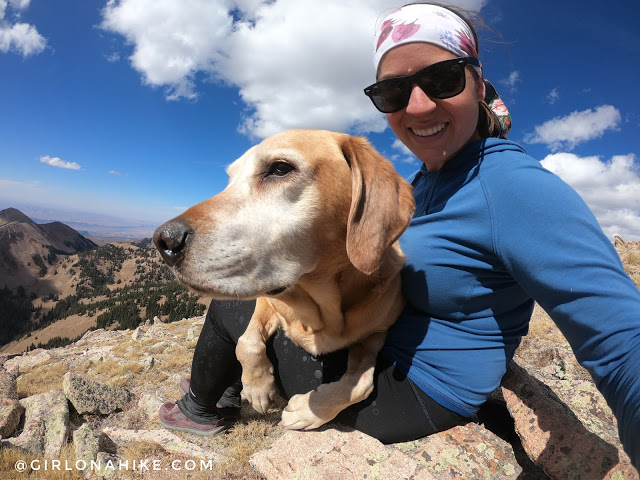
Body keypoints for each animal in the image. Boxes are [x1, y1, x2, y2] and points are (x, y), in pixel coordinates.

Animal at [154, 129, 416, 430]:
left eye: (280, 169)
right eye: (230, 180)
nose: (164, 241)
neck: (320, 313)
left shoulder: (375, 334)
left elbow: (361, 384)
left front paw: (308, 411)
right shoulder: (268, 299)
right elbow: (245, 341)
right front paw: (257, 387)